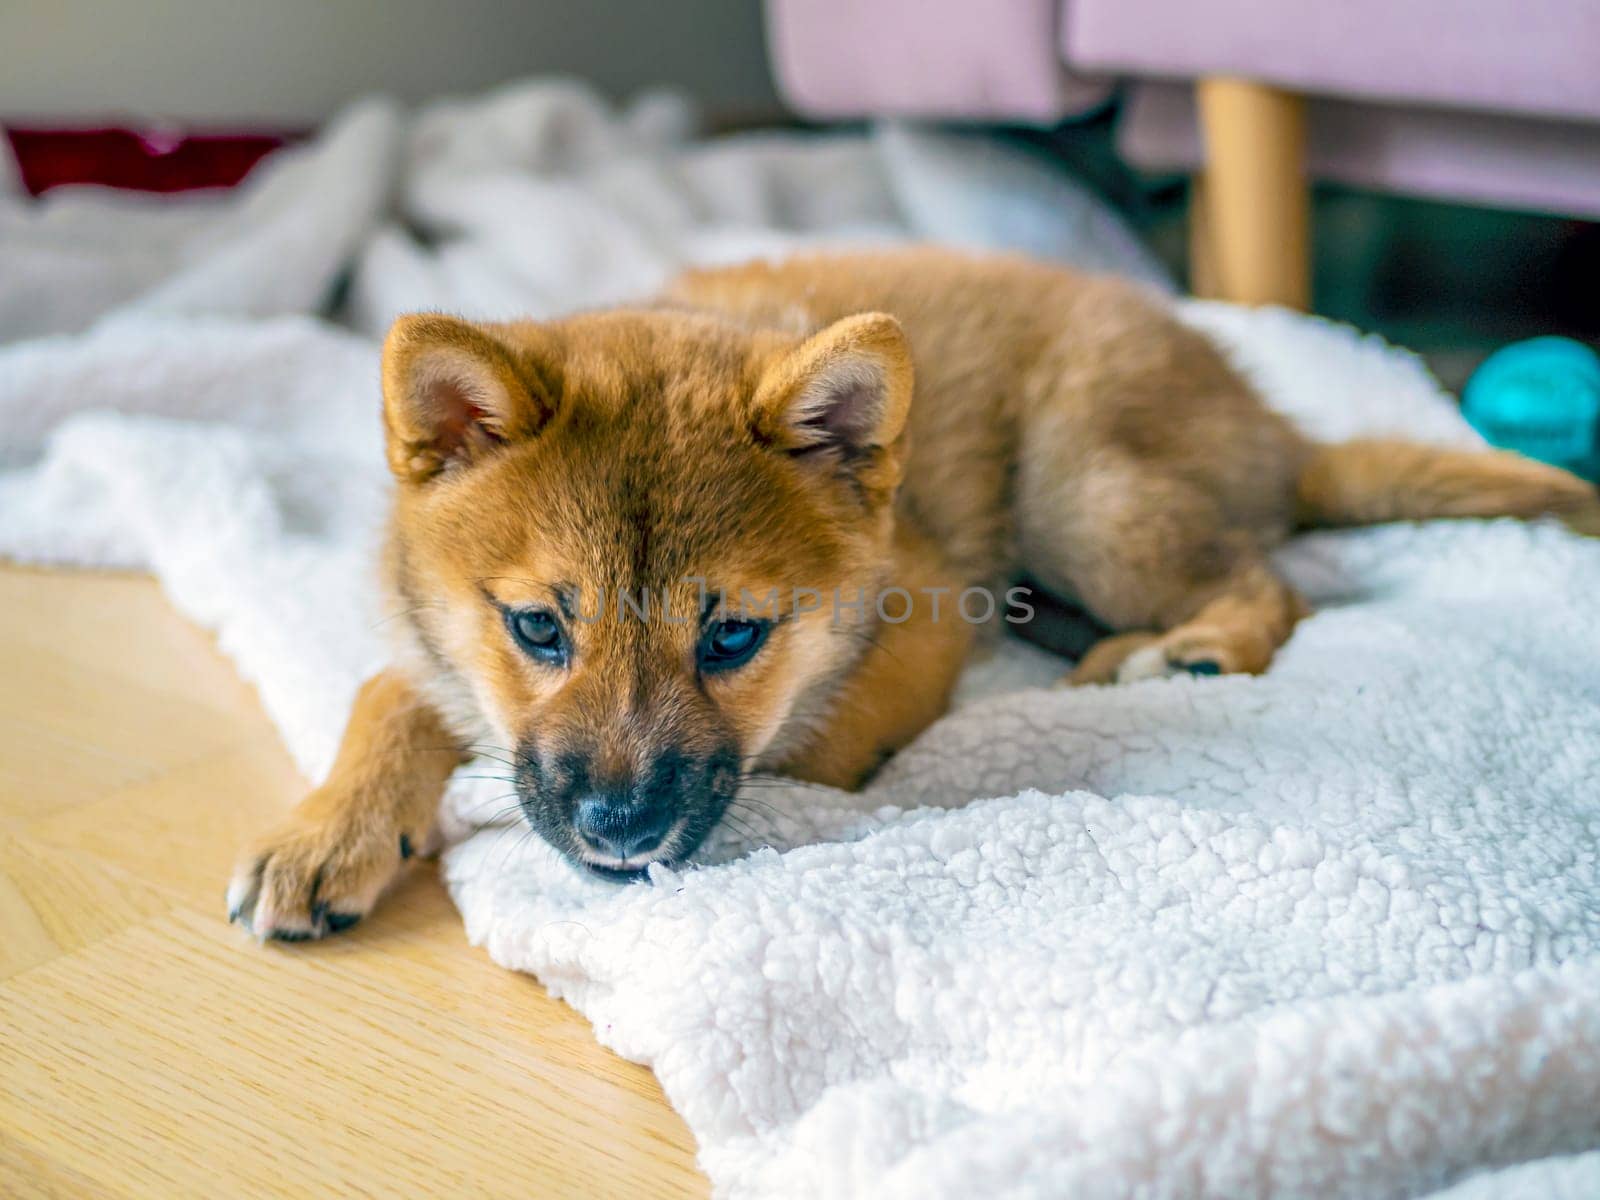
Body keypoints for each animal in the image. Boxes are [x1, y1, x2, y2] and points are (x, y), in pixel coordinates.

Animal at [228, 246, 1600, 940]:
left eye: (733, 637)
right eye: (535, 629)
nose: (619, 831)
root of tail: (1272, 429)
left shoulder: (922, 627)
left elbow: (801, 753)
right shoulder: (433, 653)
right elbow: (389, 696)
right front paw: (331, 828)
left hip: (1085, 491)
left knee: (1261, 576)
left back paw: (1189, 648)